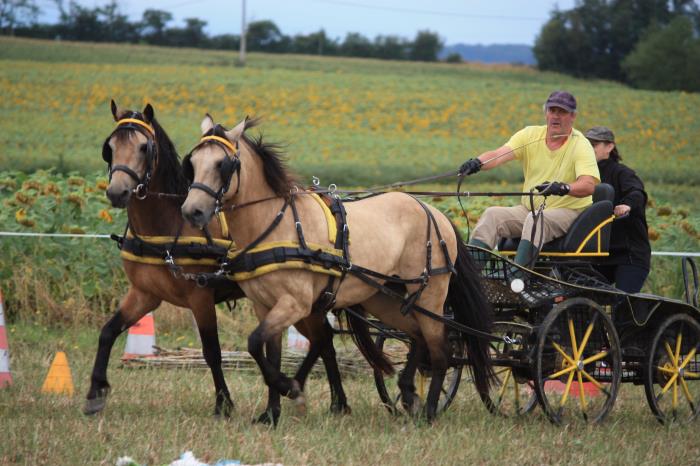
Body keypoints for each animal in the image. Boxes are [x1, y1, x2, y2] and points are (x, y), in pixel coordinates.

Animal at [85, 102, 360, 426]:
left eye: (144, 147)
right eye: (110, 147)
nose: (117, 192)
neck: (168, 226)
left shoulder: (200, 297)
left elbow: (212, 351)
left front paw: (223, 403)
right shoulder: (144, 294)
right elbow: (108, 331)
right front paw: (95, 392)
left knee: (324, 340)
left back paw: (323, 397)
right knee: (323, 340)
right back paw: (322, 397)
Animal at [180, 116, 498, 422]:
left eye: (222, 164)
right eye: (192, 163)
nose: (191, 211)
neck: (276, 224)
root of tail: (433, 212)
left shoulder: (295, 303)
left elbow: (255, 342)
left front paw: (290, 388)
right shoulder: (264, 305)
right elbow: (268, 353)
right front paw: (271, 413)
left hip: (430, 294)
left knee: (440, 349)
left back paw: (430, 411)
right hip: (385, 298)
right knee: (417, 336)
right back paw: (408, 393)